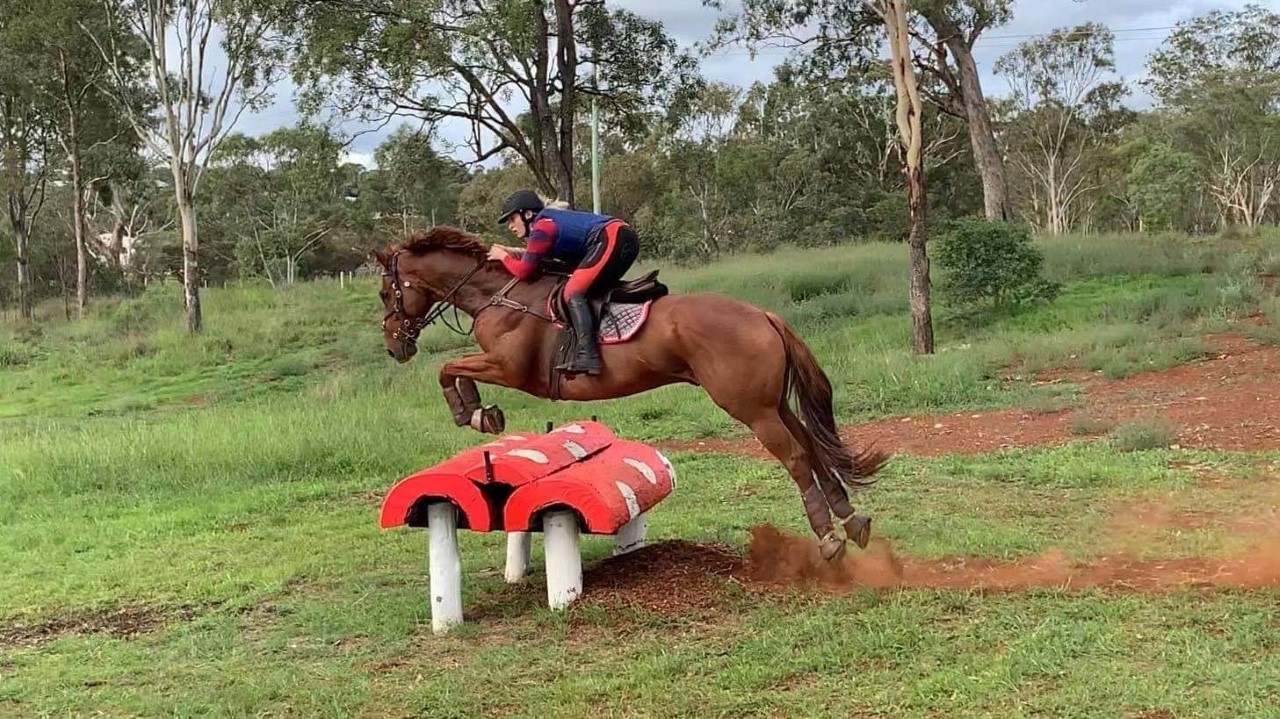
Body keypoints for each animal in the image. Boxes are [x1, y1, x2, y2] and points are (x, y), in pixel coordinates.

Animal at [371, 226, 890, 561]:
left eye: (383, 293)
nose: (395, 346)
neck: (498, 296)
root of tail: (763, 314)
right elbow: (453, 368)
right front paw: (483, 413)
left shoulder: (510, 368)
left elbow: (448, 368)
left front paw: (476, 414)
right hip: (773, 402)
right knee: (812, 447)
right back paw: (852, 521)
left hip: (751, 408)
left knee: (797, 457)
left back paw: (829, 539)